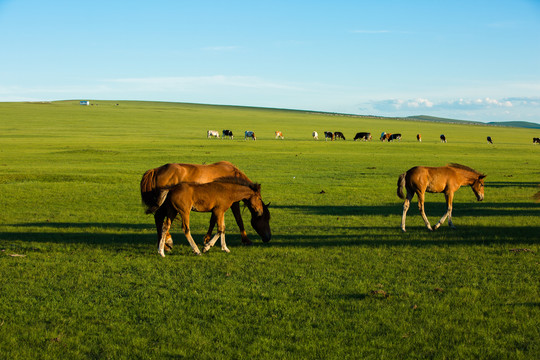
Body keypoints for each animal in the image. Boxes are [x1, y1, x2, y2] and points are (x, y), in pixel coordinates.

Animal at [139, 161, 270, 248]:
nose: (268, 237)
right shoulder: (232, 204)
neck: (231, 177)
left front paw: (207, 239)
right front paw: (246, 239)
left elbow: (213, 221)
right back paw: (165, 243)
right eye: (265, 218)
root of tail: (156, 170)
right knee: (159, 218)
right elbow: (239, 220)